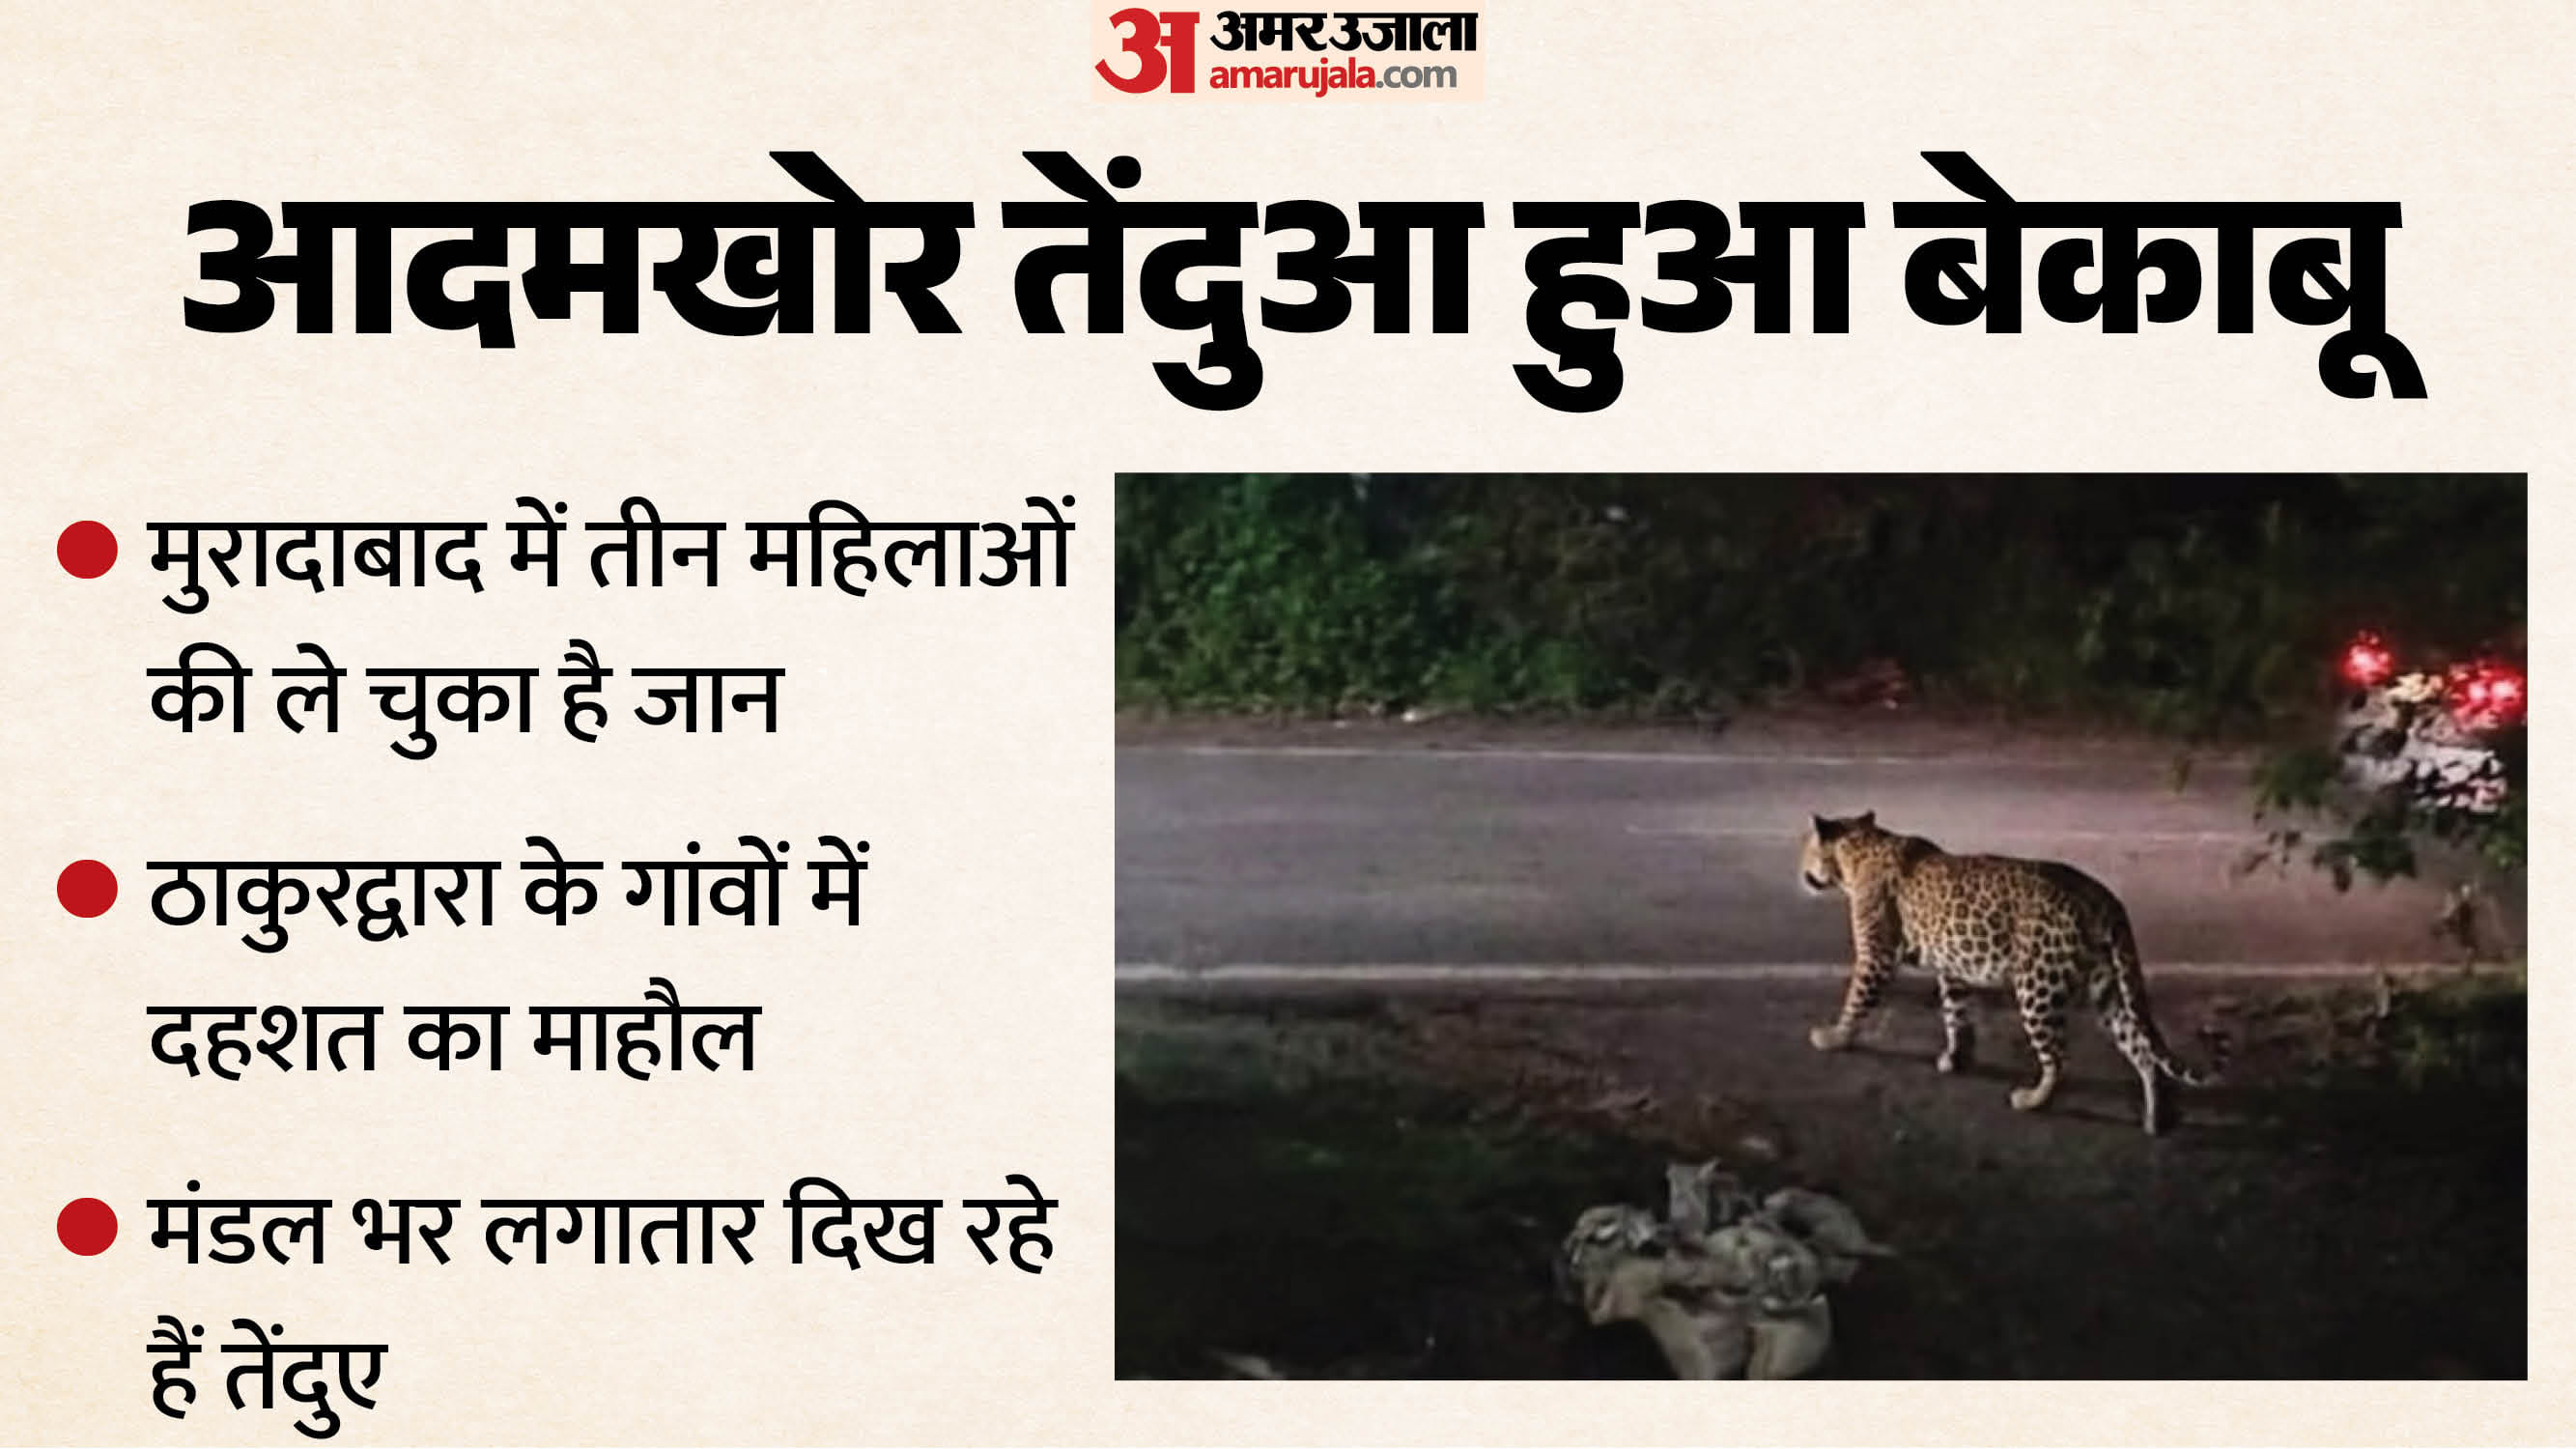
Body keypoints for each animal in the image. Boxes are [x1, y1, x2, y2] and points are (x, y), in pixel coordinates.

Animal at [1797, 810, 2218, 1135]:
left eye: (1806, 848)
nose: (1800, 869)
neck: (1859, 850)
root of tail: (2102, 895)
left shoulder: (1876, 956)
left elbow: (1856, 1001)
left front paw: (1833, 1037)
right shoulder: (1953, 965)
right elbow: (1955, 1013)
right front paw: (1957, 1057)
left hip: (2036, 986)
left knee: (2059, 1057)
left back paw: (2031, 1100)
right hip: (2107, 986)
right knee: (2142, 1050)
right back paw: (2154, 1118)